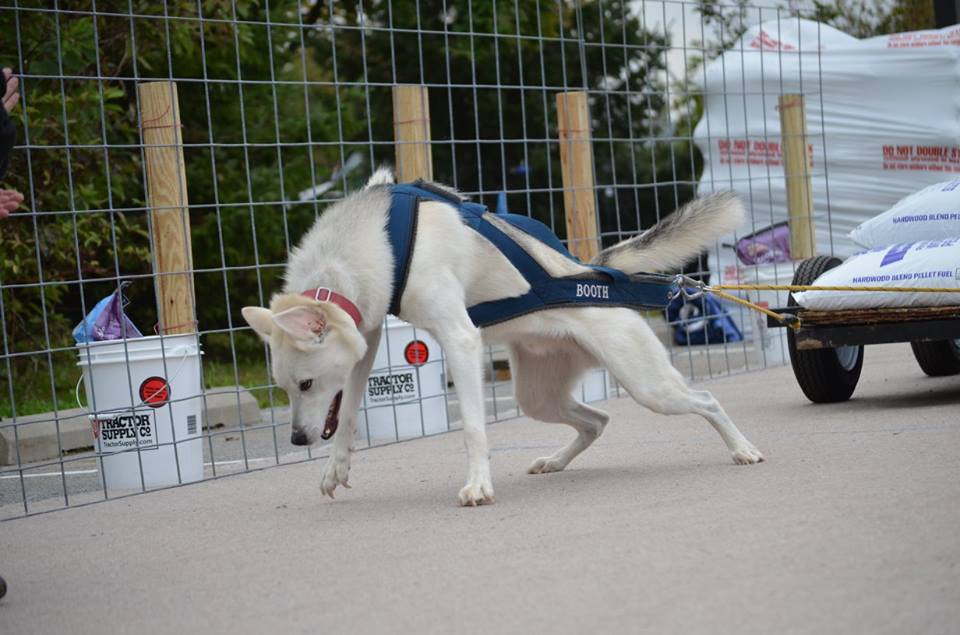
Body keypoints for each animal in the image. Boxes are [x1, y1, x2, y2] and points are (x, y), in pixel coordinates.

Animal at [242, 169, 764, 506]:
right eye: (285, 389)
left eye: (305, 384)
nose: (296, 439)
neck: (381, 236)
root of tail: (594, 271)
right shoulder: (366, 342)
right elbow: (348, 414)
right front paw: (336, 468)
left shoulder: (459, 339)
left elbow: (473, 428)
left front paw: (478, 485)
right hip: (537, 397)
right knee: (596, 421)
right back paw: (555, 462)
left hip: (648, 385)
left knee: (706, 400)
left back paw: (743, 449)